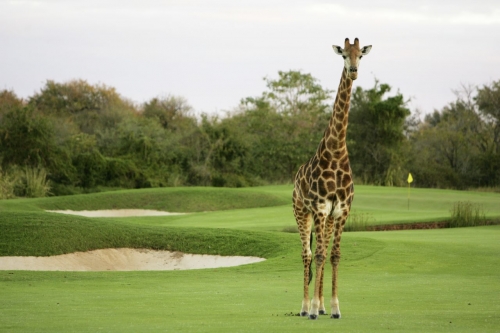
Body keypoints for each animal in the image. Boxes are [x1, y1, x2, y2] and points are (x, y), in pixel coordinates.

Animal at [292, 37, 370, 318]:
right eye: (344, 55)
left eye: (361, 55)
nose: (354, 71)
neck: (336, 152)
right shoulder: (320, 208)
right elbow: (318, 255)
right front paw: (314, 308)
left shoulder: (341, 210)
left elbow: (334, 254)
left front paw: (335, 307)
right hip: (301, 211)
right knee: (307, 253)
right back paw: (306, 307)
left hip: (323, 218)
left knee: (321, 252)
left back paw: (322, 305)